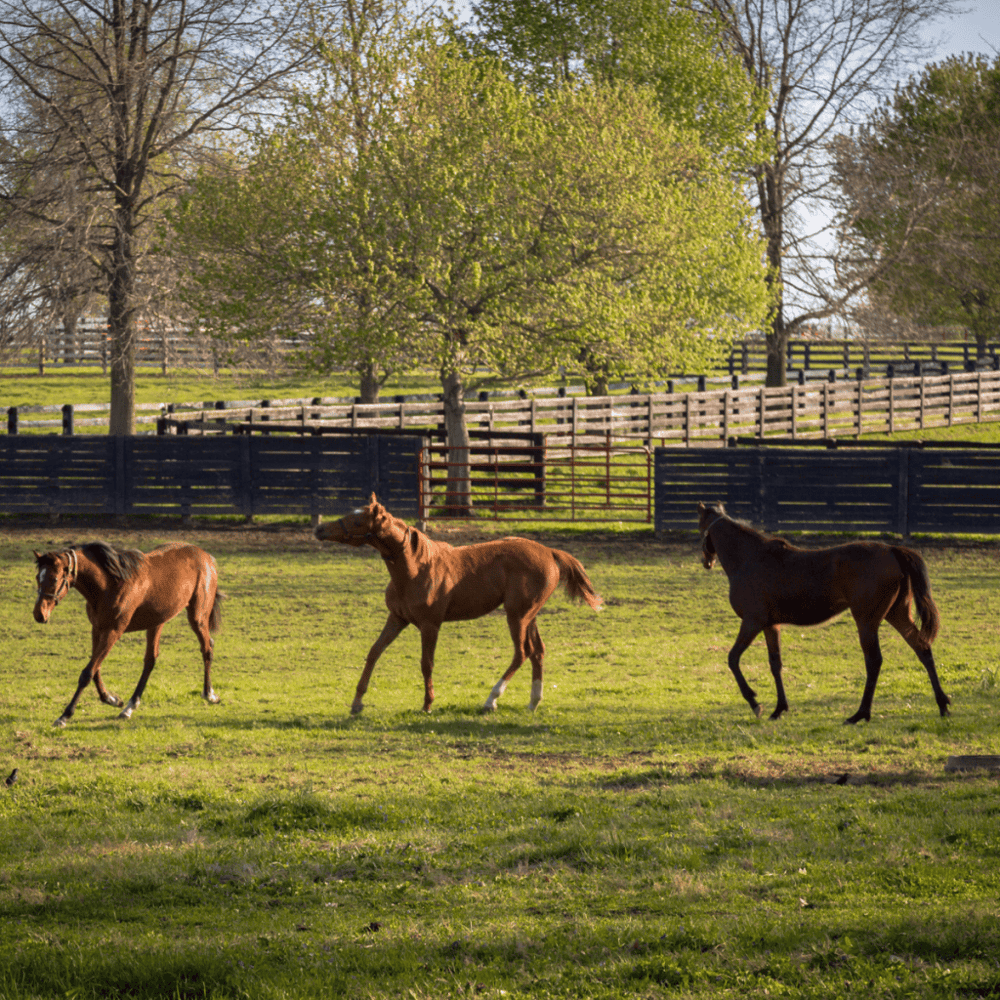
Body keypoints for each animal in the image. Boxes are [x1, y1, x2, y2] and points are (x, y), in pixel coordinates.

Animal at [32, 541, 224, 728]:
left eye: (54, 578)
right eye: (37, 577)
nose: (39, 614)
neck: (110, 585)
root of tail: (206, 556)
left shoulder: (113, 631)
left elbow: (87, 673)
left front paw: (65, 715)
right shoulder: (97, 629)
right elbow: (96, 669)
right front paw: (111, 699)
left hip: (197, 617)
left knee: (207, 648)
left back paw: (209, 694)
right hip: (156, 622)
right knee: (150, 660)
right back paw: (130, 707)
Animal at [315, 494, 603, 714]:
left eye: (357, 520)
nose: (319, 529)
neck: (416, 567)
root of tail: (550, 553)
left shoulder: (430, 625)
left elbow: (426, 663)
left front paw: (427, 704)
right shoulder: (397, 619)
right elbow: (374, 652)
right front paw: (357, 703)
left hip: (517, 615)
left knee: (522, 652)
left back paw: (491, 700)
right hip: (529, 615)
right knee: (538, 652)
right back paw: (533, 702)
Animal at [697, 501, 950, 724]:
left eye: (700, 529)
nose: (706, 562)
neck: (750, 558)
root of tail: (891, 550)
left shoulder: (752, 622)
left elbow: (733, 658)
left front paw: (754, 702)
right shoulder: (771, 625)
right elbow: (775, 663)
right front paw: (779, 709)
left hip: (867, 621)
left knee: (874, 661)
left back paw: (860, 714)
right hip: (896, 614)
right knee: (922, 648)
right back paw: (942, 705)